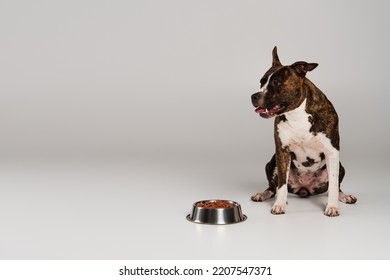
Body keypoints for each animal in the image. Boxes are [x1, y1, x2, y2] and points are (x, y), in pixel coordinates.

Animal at [250, 47, 356, 217]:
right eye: (261, 82)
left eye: (276, 82)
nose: (254, 96)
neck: (297, 114)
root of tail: (304, 189)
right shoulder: (282, 151)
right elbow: (281, 184)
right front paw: (280, 204)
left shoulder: (332, 151)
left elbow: (333, 185)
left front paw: (332, 206)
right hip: (271, 162)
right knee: (273, 187)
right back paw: (264, 194)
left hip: (341, 166)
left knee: (337, 186)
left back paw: (344, 196)